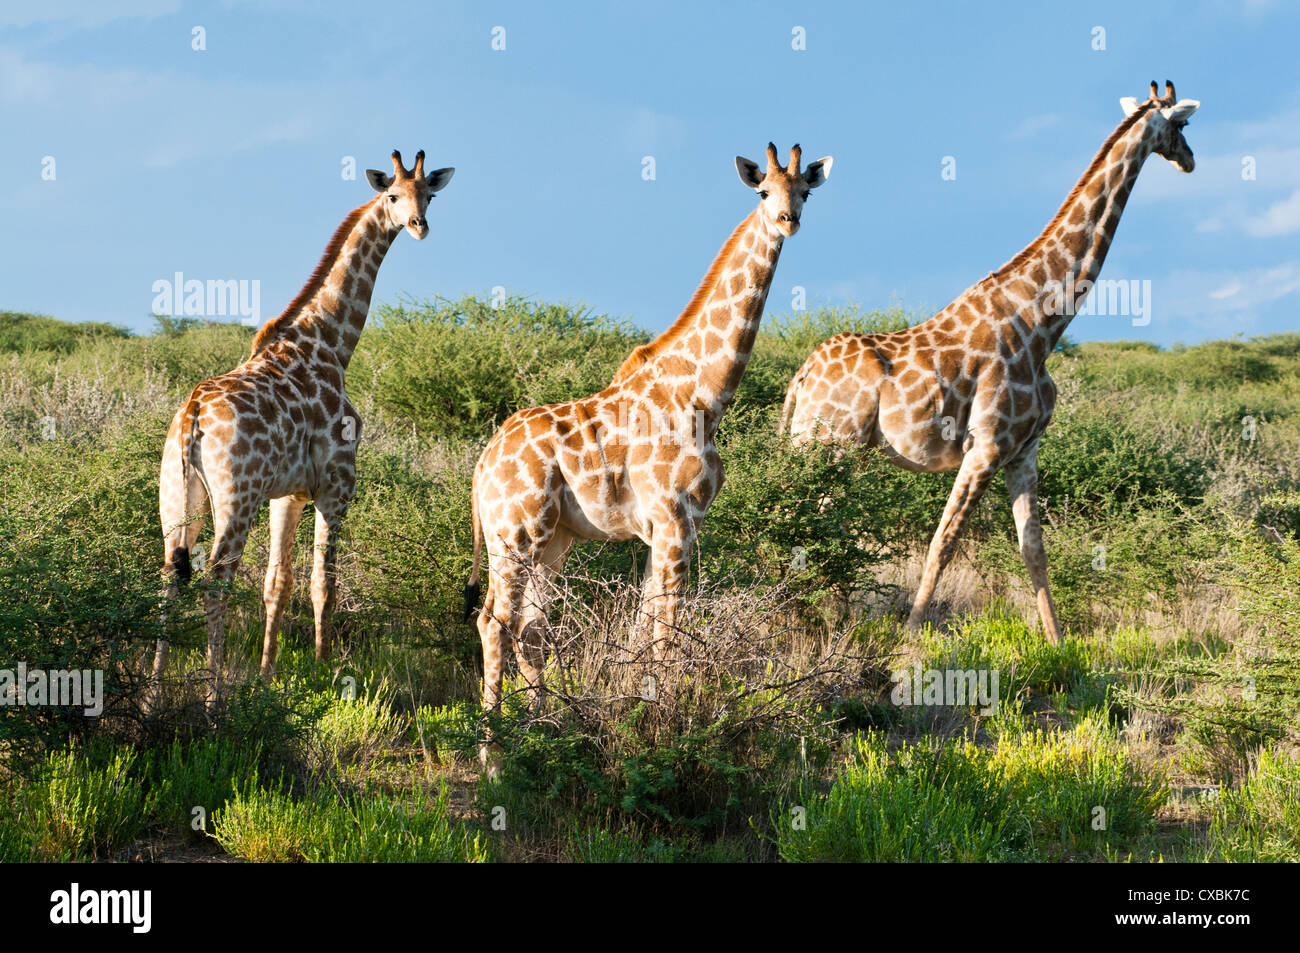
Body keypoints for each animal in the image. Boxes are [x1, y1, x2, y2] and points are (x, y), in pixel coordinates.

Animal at [157, 146, 457, 696]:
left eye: (429, 194)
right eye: (392, 195)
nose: (419, 226)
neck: (333, 343)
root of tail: (191, 415)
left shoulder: (289, 493)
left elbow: (278, 584)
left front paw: (267, 674)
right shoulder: (337, 485)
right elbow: (324, 584)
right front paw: (322, 672)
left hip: (177, 494)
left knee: (170, 575)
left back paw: (153, 688)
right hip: (236, 497)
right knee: (215, 581)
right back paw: (213, 695)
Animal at [467, 144, 832, 769]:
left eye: (805, 191)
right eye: (764, 192)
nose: (789, 221)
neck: (706, 393)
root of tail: (481, 466)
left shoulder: (676, 524)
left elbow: (648, 623)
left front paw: (646, 713)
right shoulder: (672, 518)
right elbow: (666, 630)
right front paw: (666, 725)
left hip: (553, 540)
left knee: (532, 629)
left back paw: (542, 732)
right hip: (515, 531)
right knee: (495, 621)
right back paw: (494, 754)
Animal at [780, 83, 1196, 647]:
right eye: (1184, 125)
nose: (1190, 160)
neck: (1042, 321)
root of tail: (801, 377)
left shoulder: (1024, 449)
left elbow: (1033, 550)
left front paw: (1057, 643)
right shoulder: (986, 444)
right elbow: (944, 541)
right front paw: (909, 640)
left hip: (833, 448)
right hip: (827, 445)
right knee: (799, 520)